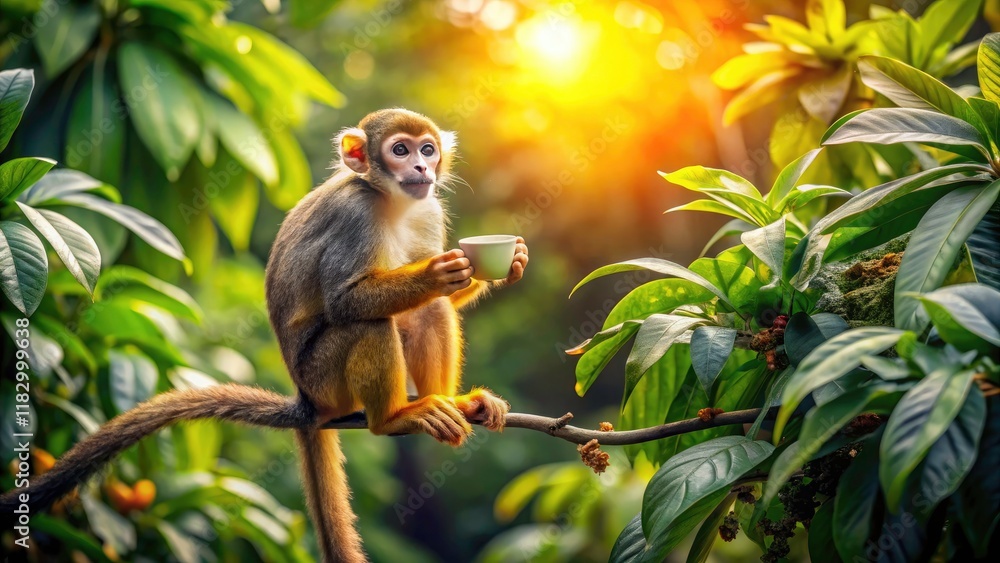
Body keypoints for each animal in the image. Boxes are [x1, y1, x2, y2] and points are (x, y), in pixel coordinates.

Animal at [0, 108, 529, 563]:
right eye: (400, 150)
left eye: (428, 149)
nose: (421, 166)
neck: (391, 200)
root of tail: (307, 401)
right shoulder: (355, 214)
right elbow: (347, 302)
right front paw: (441, 273)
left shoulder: (428, 208)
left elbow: (439, 300)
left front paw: (507, 264)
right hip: (323, 377)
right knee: (370, 323)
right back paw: (394, 419)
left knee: (423, 314)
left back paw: (450, 403)